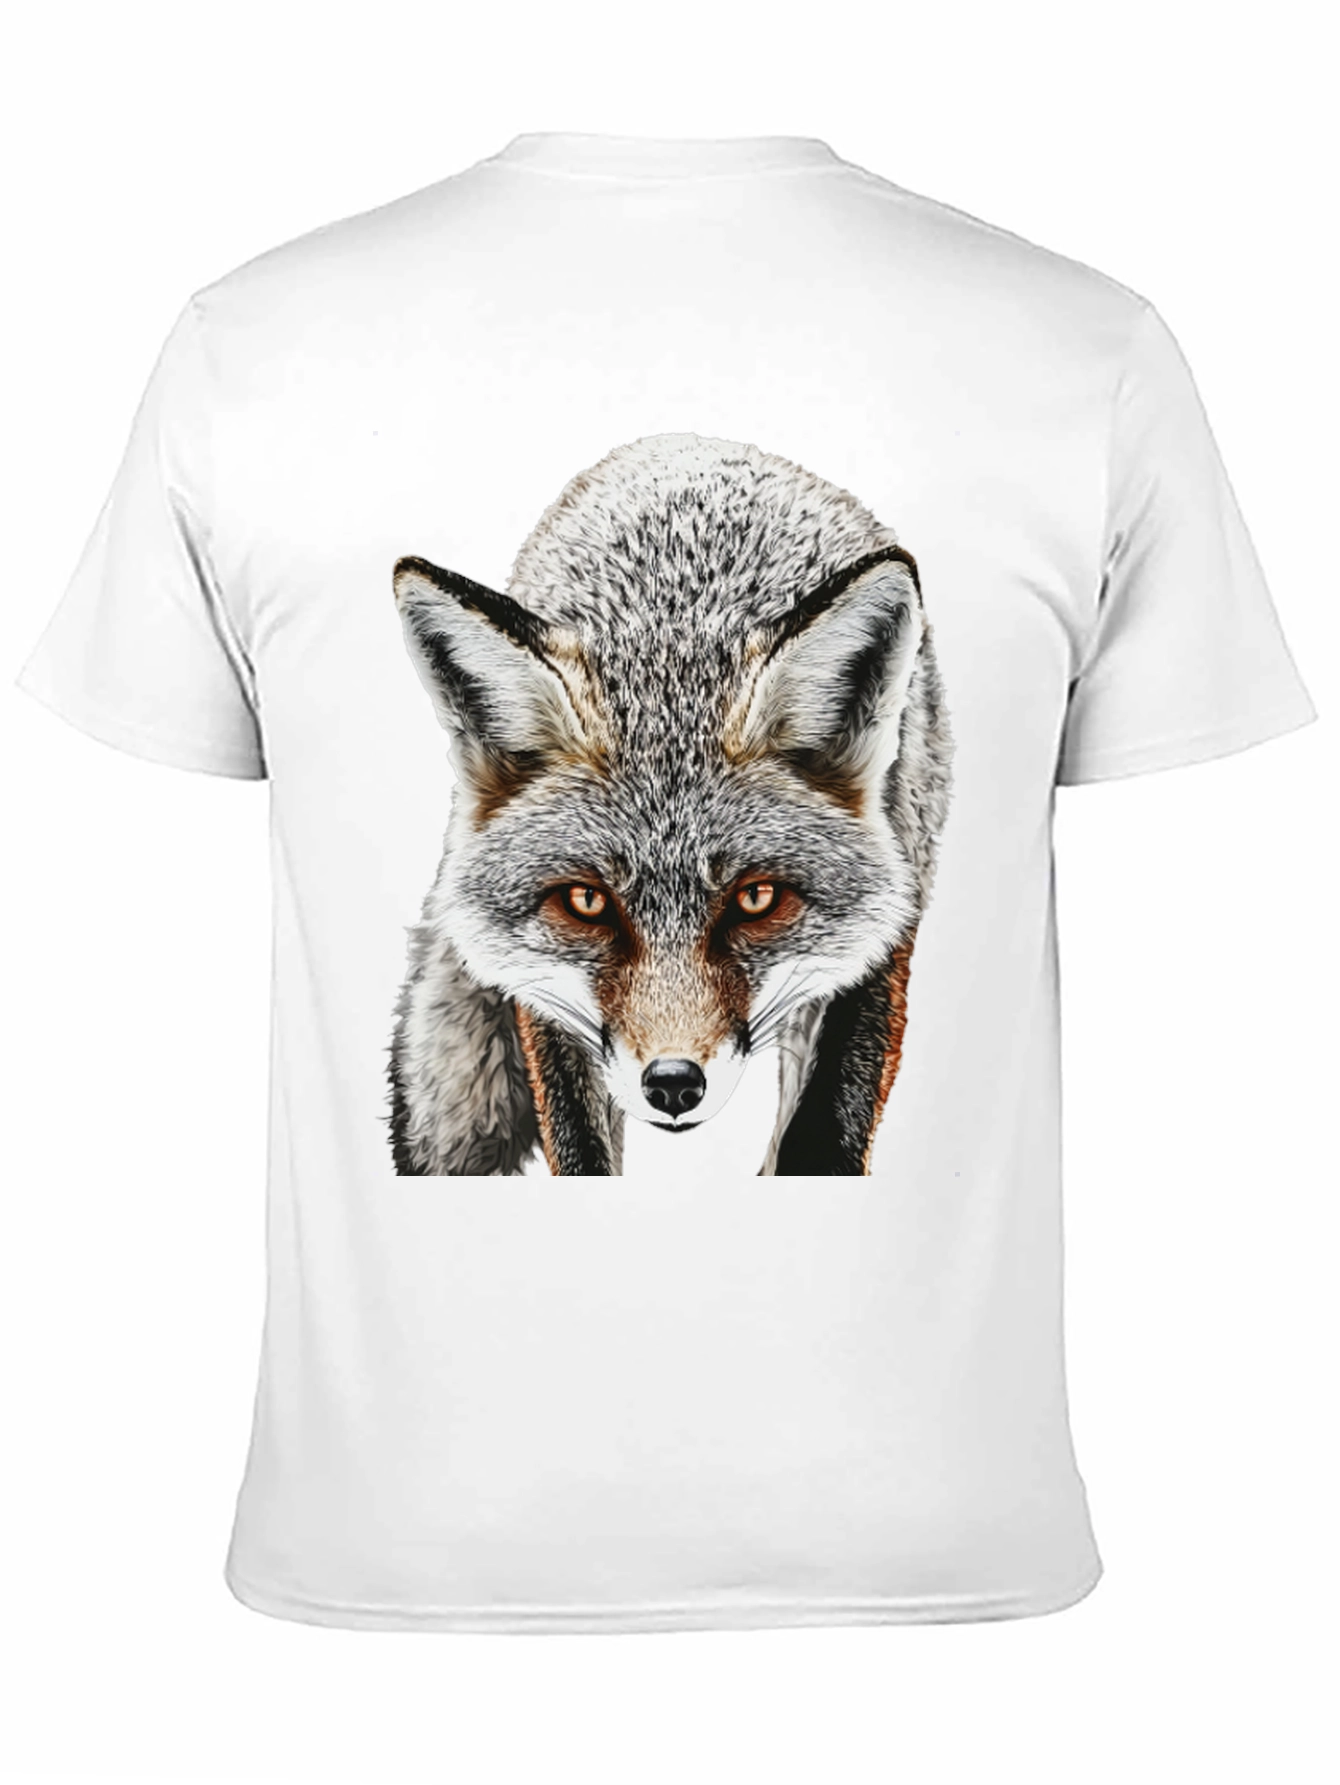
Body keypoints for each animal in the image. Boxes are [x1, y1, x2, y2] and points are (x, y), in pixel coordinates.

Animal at [387, 433, 953, 1176]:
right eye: (587, 901)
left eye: (757, 897)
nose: (674, 1083)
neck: (676, 632)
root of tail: (690, 443)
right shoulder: (547, 994)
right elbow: (582, 1153)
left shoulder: (882, 930)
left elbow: (819, 1142)